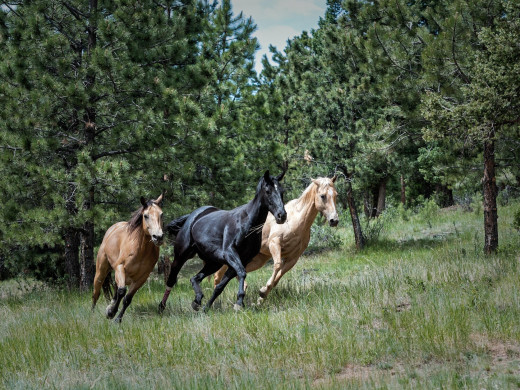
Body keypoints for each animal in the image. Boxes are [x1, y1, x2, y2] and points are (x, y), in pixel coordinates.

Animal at [91, 193, 164, 322]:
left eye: (161, 214)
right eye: (146, 216)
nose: (158, 237)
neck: (141, 250)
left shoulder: (141, 278)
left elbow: (127, 299)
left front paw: (117, 318)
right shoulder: (120, 267)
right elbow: (121, 292)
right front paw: (111, 312)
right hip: (101, 272)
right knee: (96, 292)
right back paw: (92, 314)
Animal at [159, 171, 288, 314]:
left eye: (281, 191)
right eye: (268, 191)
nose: (281, 215)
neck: (246, 222)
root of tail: (193, 216)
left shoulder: (242, 260)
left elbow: (220, 286)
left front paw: (206, 307)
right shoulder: (230, 253)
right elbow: (242, 273)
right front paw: (239, 302)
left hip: (213, 263)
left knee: (195, 278)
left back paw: (197, 300)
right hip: (181, 256)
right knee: (171, 280)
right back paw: (162, 306)